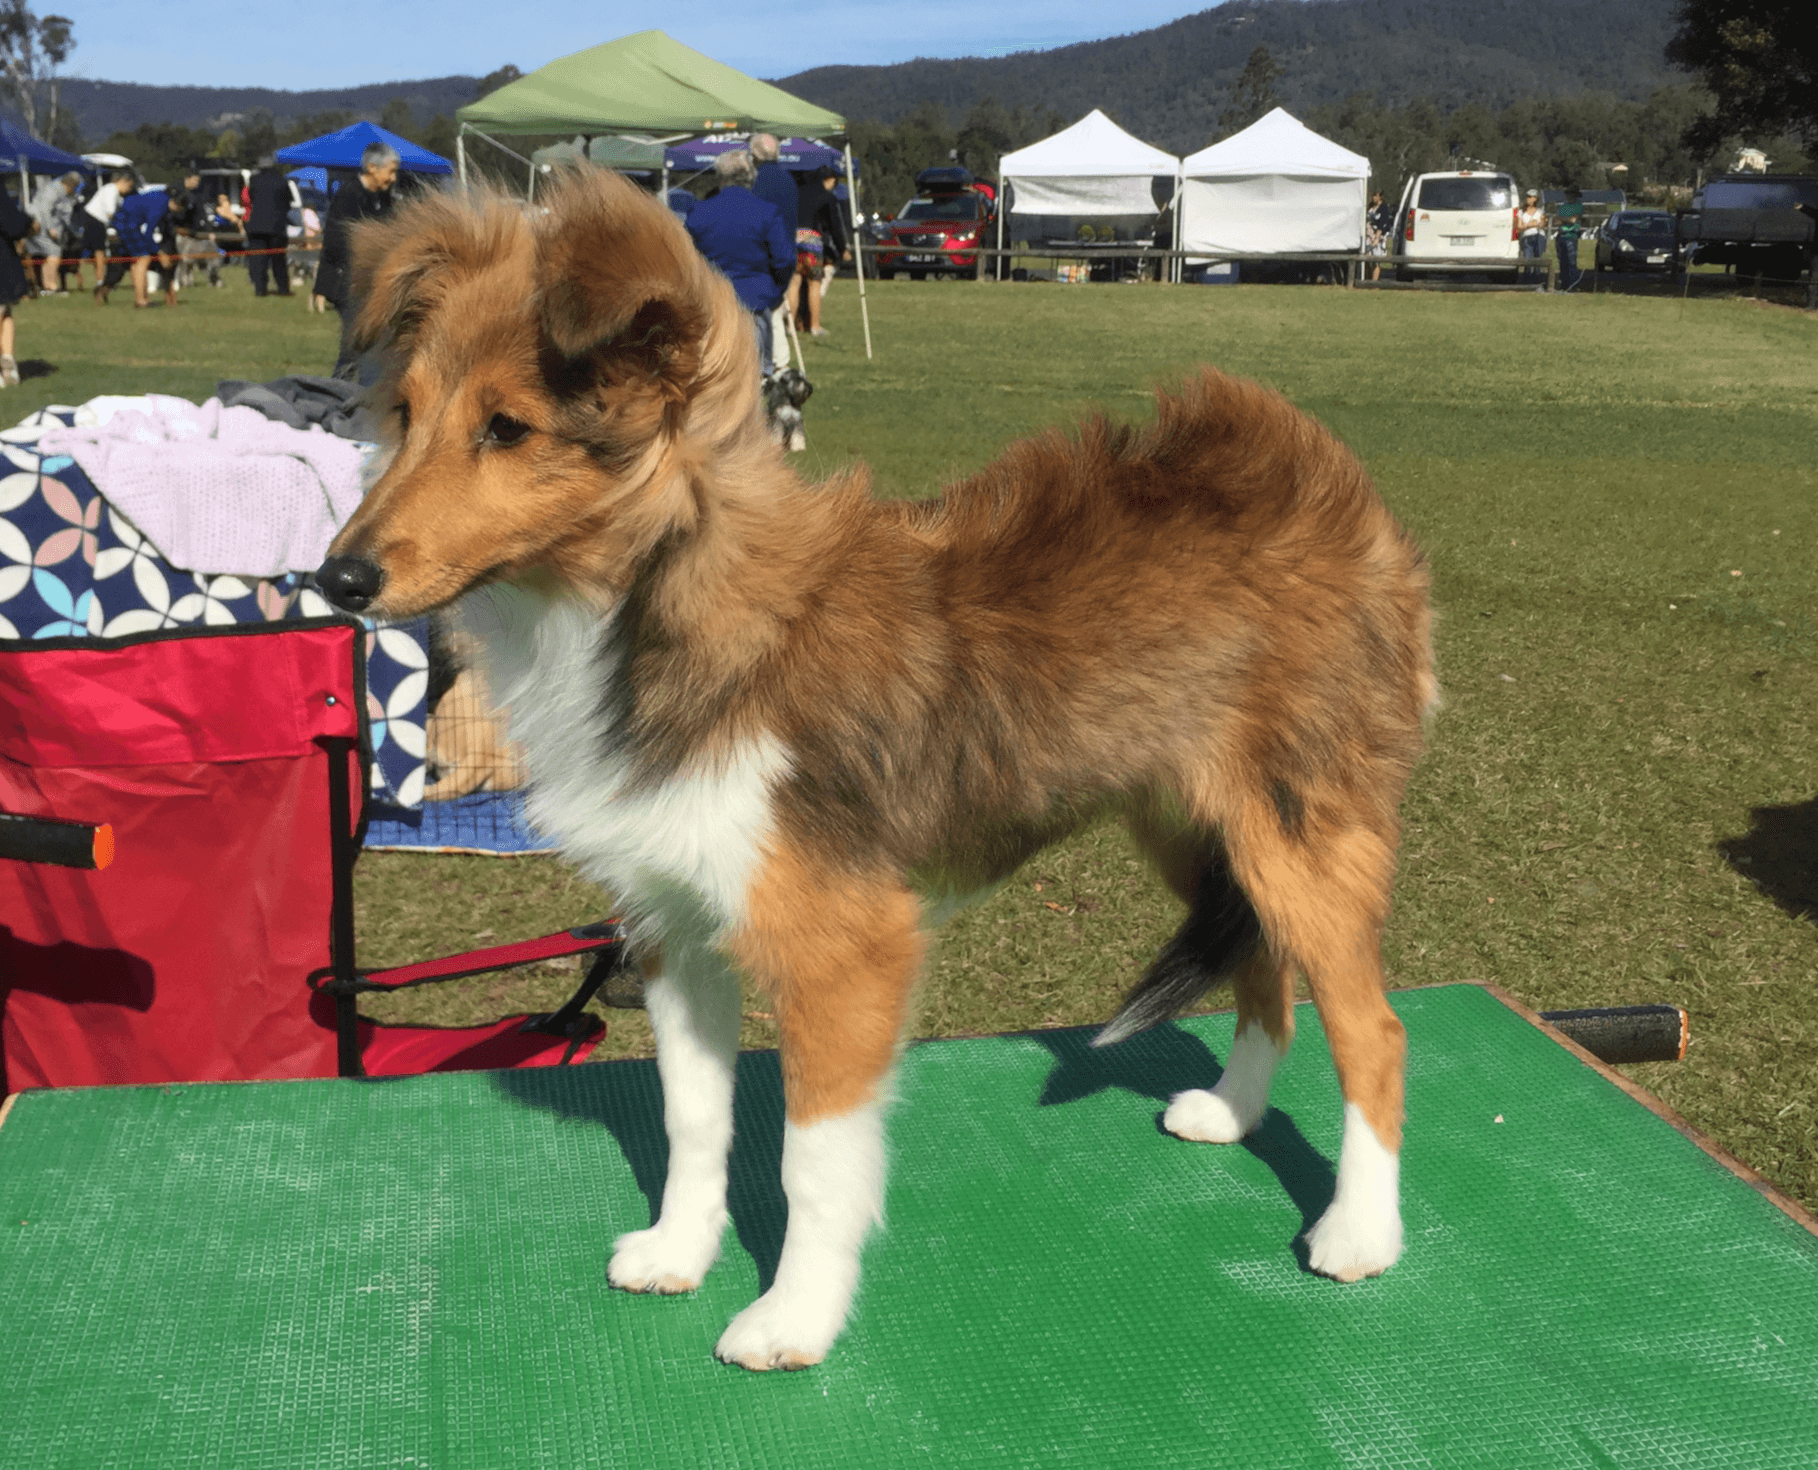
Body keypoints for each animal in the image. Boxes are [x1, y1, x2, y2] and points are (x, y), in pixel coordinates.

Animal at [312, 175, 1432, 1373]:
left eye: (509, 428)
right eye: (404, 415)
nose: (337, 580)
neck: (660, 603)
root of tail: (1318, 474)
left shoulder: (843, 946)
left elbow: (811, 1160)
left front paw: (792, 1318)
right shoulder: (675, 926)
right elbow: (693, 1118)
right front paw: (679, 1251)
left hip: (1298, 831)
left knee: (1374, 1030)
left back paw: (1360, 1233)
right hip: (1199, 828)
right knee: (1264, 963)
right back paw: (1233, 1111)